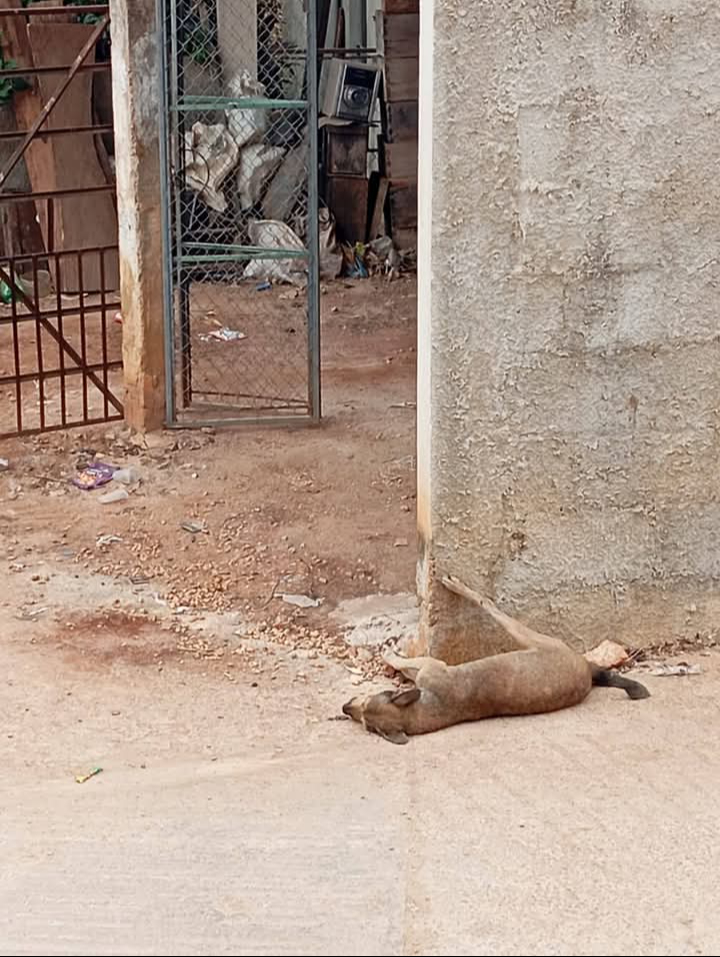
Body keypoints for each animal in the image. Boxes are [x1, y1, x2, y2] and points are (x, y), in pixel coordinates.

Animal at [340, 572, 648, 744]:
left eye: (366, 703)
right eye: (366, 724)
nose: (345, 708)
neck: (419, 711)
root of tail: (587, 672)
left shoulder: (431, 667)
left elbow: (400, 662)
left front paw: (389, 652)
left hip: (531, 636)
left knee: (487, 603)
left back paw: (457, 585)